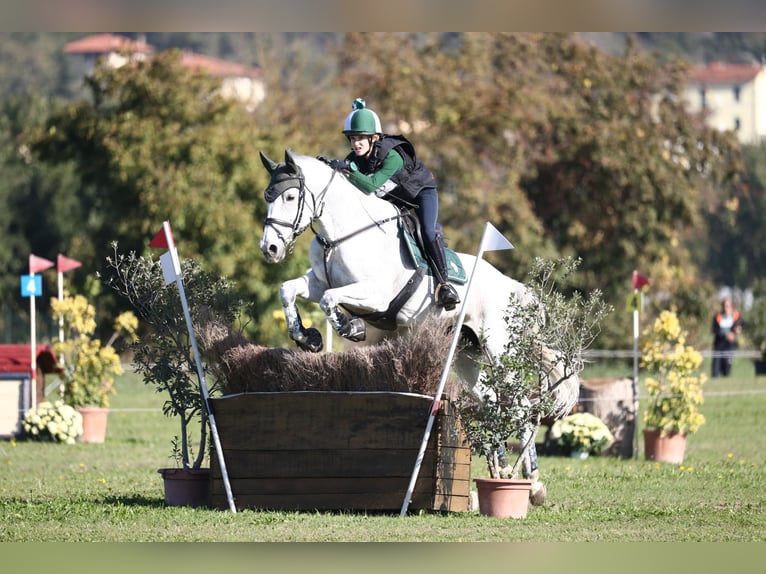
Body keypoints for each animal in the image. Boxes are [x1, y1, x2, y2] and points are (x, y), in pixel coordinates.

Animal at [258, 150, 576, 504]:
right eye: (267, 197)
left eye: (290, 197)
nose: (270, 249)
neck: (340, 236)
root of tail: (513, 287)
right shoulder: (316, 282)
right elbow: (288, 289)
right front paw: (307, 337)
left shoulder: (376, 295)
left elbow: (330, 300)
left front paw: (350, 328)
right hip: (466, 355)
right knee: (493, 401)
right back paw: (505, 471)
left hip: (498, 349)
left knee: (520, 404)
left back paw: (530, 483)